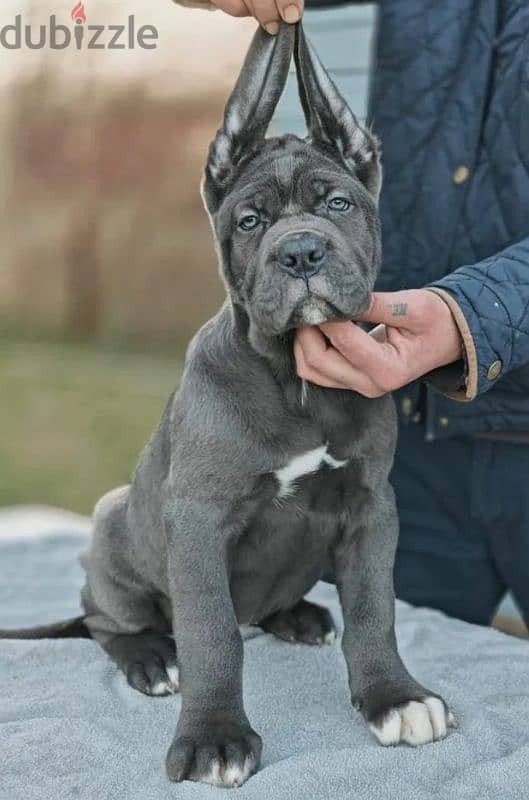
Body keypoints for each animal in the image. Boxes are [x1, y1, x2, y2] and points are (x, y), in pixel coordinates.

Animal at [2, 23, 454, 788]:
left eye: (336, 204)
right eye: (249, 221)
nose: (300, 253)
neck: (297, 383)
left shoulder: (370, 504)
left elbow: (374, 607)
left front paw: (394, 697)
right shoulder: (198, 517)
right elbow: (211, 632)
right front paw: (214, 736)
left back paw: (298, 617)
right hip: (114, 519)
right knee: (105, 619)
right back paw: (152, 658)